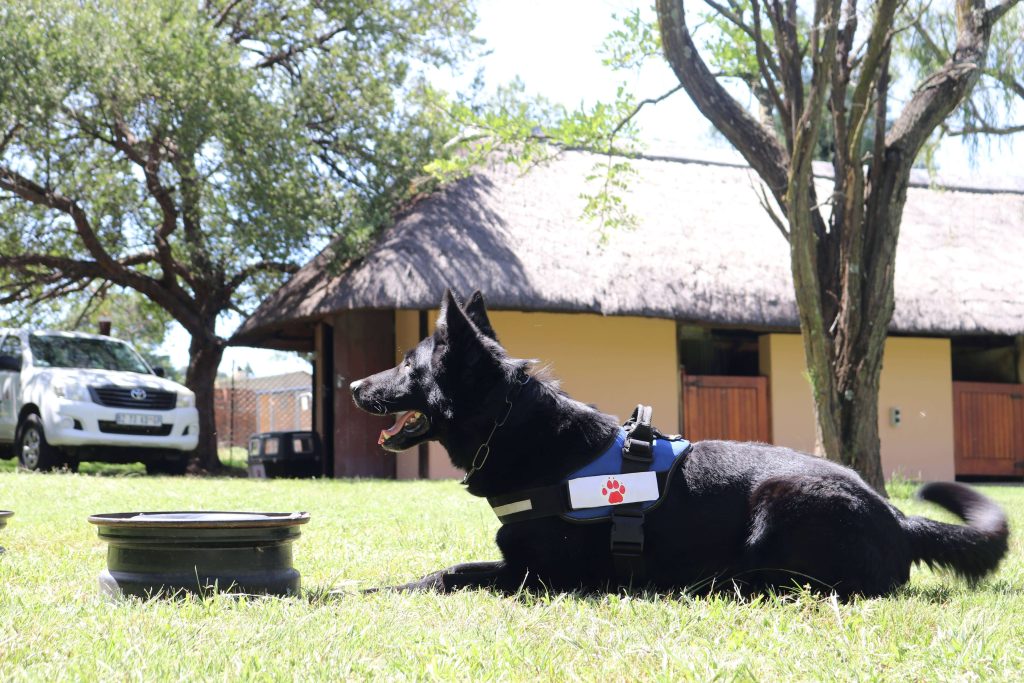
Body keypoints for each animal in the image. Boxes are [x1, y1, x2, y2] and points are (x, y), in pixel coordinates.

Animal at [352, 290, 1007, 598]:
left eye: (407, 365)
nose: (355, 385)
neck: (518, 430)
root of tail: (895, 515)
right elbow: (449, 568)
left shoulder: (540, 577)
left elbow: (448, 573)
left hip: (781, 505)